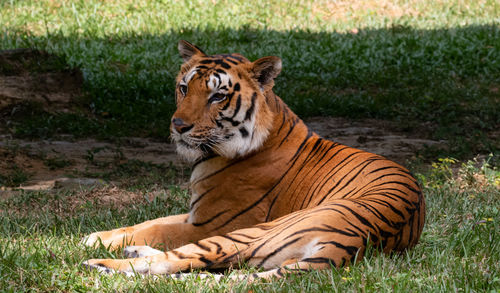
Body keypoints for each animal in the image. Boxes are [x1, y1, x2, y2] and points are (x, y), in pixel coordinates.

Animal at [83, 39, 426, 278]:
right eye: (183, 88)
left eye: (218, 96)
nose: (178, 126)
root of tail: (354, 243)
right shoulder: (196, 214)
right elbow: (148, 223)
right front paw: (97, 236)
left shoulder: (210, 223)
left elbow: (158, 229)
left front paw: (89, 242)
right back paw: (130, 251)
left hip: (248, 233)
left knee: (172, 261)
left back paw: (99, 263)